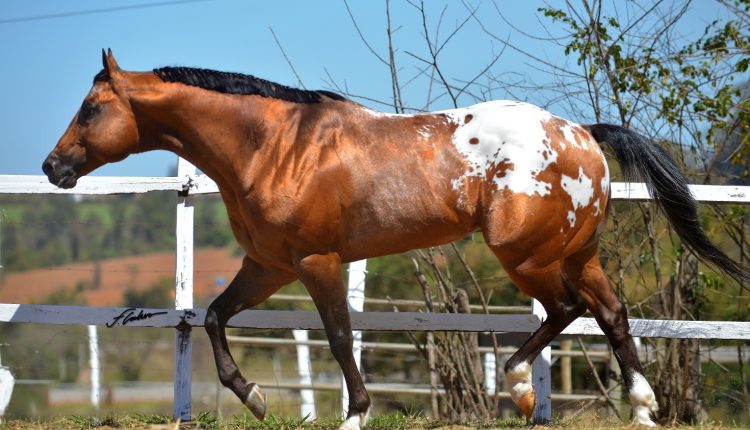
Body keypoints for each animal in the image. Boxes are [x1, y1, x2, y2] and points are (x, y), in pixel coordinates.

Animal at [44, 49, 748, 426]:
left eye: (91, 108)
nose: (54, 168)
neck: (273, 147)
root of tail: (583, 134)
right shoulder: (268, 265)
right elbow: (215, 316)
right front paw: (257, 399)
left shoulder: (316, 260)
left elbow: (338, 335)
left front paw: (354, 412)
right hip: (577, 251)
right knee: (611, 311)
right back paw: (641, 407)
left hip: (525, 254)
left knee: (569, 309)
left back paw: (521, 386)